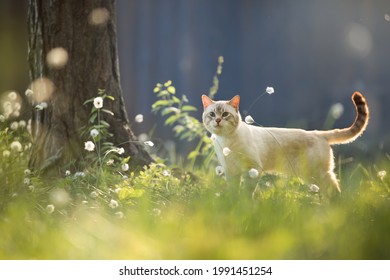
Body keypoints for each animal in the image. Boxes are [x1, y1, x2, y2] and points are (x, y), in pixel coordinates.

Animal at [203, 91, 370, 196]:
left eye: (225, 114)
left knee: (335, 191)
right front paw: (234, 203)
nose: (218, 120)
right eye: (212, 114)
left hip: (315, 174)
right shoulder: (231, 172)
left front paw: (244, 205)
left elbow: (247, 192)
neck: (226, 141)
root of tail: (317, 133)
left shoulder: (252, 169)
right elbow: (233, 192)